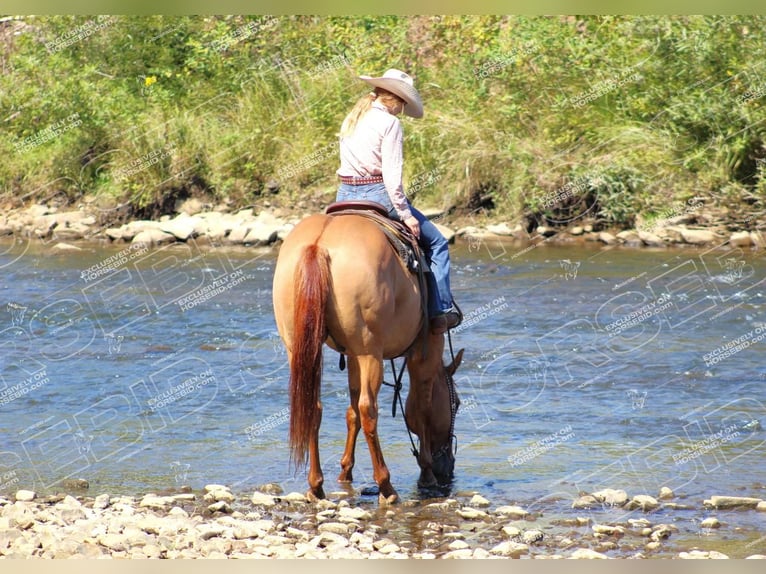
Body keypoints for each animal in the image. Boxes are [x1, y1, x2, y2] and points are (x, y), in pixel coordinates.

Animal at [276, 212, 468, 504]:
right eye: (455, 404)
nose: (448, 467)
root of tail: (319, 244)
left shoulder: (353, 355)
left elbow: (351, 411)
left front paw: (345, 470)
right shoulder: (424, 352)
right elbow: (420, 407)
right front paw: (427, 473)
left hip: (300, 347)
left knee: (315, 407)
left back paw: (316, 485)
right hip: (371, 352)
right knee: (369, 410)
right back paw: (386, 486)